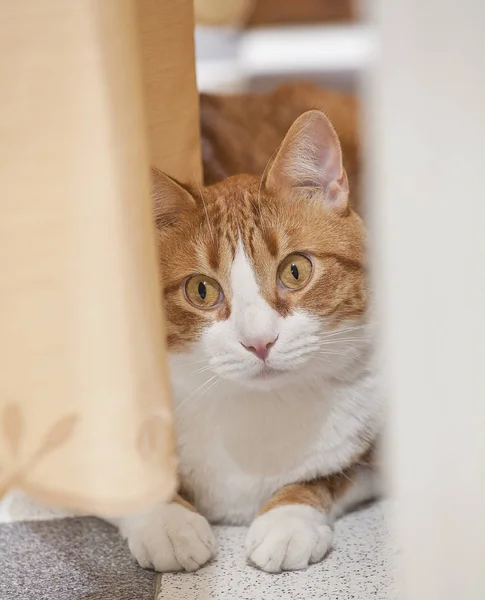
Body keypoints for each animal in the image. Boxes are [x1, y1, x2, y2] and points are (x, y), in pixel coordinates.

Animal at [113, 83, 382, 572]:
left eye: (295, 270)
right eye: (201, 290)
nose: (260, 342)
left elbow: (330, 473)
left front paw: (288, 519)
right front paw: (168, 522)